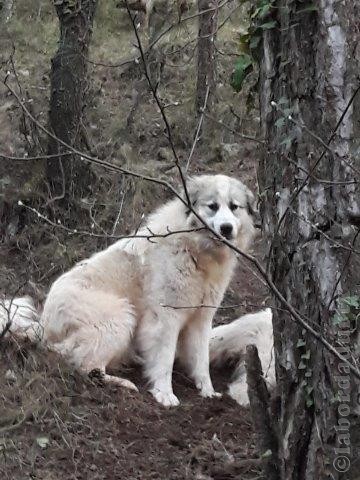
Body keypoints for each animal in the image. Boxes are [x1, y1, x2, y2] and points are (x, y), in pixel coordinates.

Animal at [1, 174, 258, 406]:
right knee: (82, 364)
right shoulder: (165, 317)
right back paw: (122, 382)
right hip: (119, 317)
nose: (226, 228)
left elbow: (201, 359)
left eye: (234, 207)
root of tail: (44, 323)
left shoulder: (201, 317)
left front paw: (207, 391)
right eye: (212, 207)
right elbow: (164, 359)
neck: (195, 250)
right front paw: (164, 394)